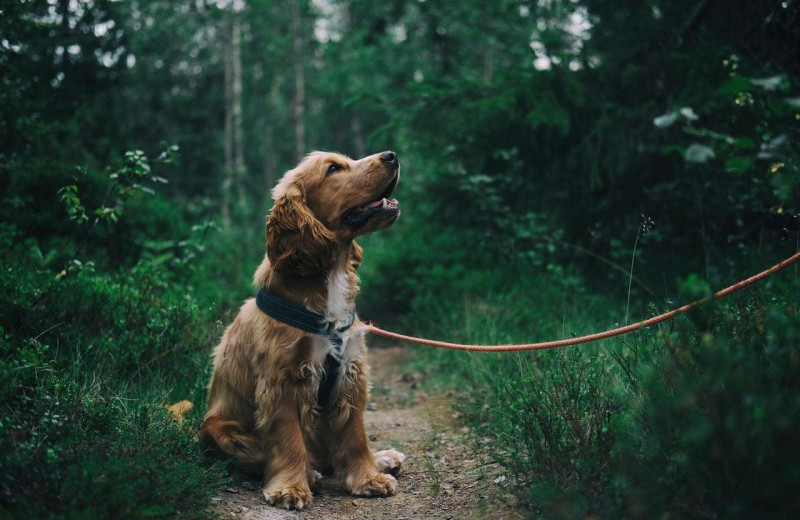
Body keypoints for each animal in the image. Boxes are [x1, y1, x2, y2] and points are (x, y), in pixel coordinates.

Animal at [200, 151, 406, 512]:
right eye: (334, 168)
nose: (391, 155)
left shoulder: (351, 372)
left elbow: (355, 435)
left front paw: (368, 478)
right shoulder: (284, 379)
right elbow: (289, 439)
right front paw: (291, 488)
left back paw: (382, 458)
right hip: (218, 427)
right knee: (262, 455)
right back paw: (310, 473)